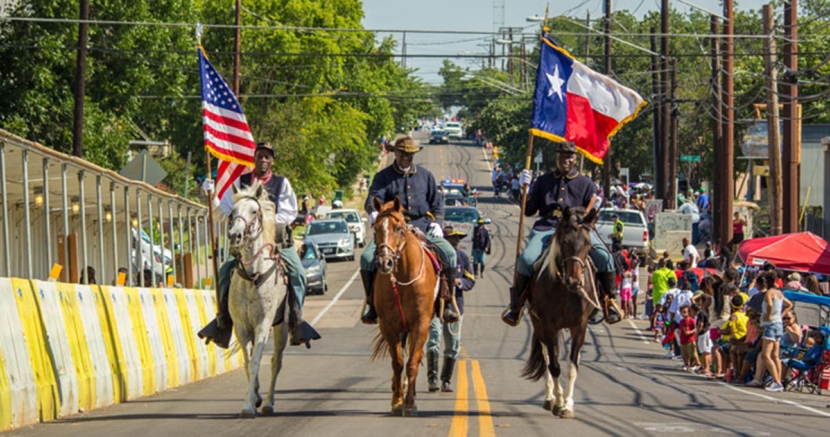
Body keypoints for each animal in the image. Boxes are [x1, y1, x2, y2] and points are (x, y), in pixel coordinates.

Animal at [228, 181, 290, 418]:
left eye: (254, 211)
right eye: (232, 212)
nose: (235, 235)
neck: (253, 277)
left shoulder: (263, 324)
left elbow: (256, 362)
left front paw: (249, 406)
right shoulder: (241, 326)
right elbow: (247, 362)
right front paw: (252, 398)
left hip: (281, 327)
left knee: (275, 362)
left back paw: (269, 403)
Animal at [368, 196, 436, 414]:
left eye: (398, 228)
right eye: (375, 227)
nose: (385, 263)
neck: (403, 277)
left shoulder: (421, 324)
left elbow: (412, 362)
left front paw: (410, 402)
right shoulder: (389, 325)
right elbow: (397, 362)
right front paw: (397, 400)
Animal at [524, 206, 600, 418]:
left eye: (588, 244)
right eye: (565, 242)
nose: (575, 281)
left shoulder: (580, 326)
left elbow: (572, 366)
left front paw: (567, 405)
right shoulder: (548, 325)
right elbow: (554, 366)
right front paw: (558, 402)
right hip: (538, 324)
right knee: (547, 356)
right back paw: (550, 398)